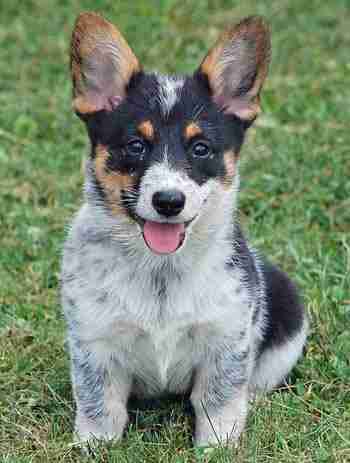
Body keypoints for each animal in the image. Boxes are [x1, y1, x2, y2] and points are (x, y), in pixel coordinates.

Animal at [61, 11, 308, 450]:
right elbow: (99, 404)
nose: (168, 201)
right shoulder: (95, 341)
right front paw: (95, 446)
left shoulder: (225, 341)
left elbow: (218, 401)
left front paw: (217, 448)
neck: (160, 270)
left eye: (200, 148)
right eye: (136, 145)